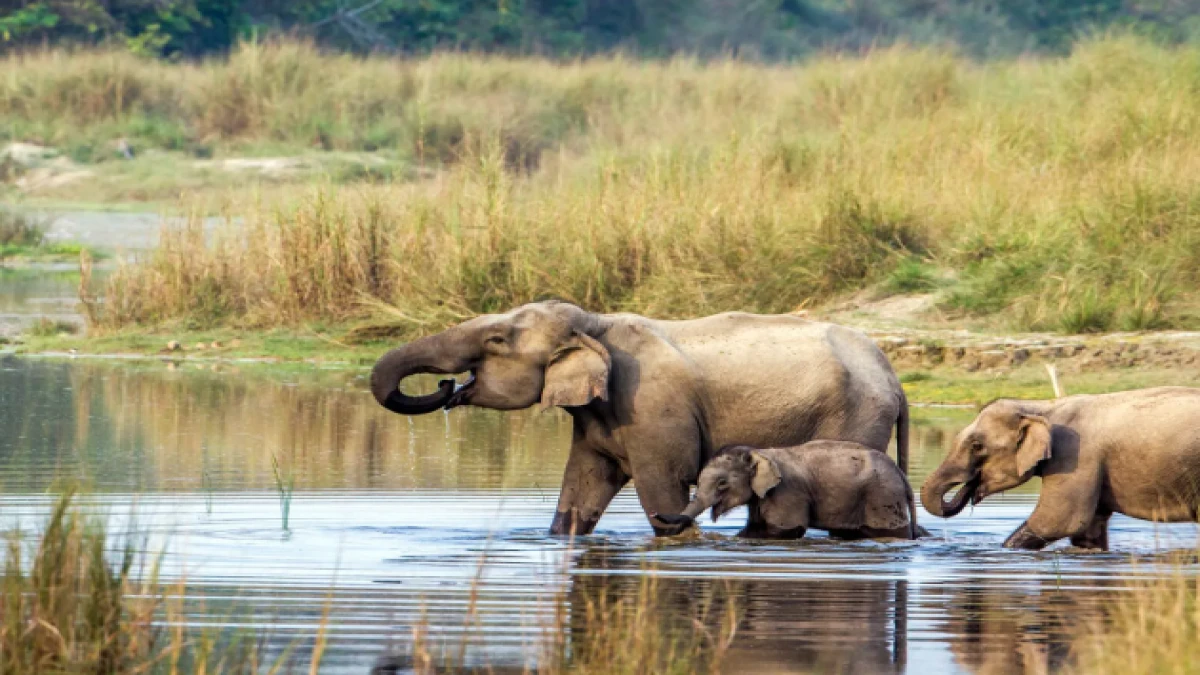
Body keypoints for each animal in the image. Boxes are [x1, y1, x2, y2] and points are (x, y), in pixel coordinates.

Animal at [653, 442, 925, 540]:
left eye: (722, 483)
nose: (655, 514)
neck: (758, 452)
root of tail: (901, 474)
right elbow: (753, 530)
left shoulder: (787, 493)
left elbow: (784, 530)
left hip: (883, 498)